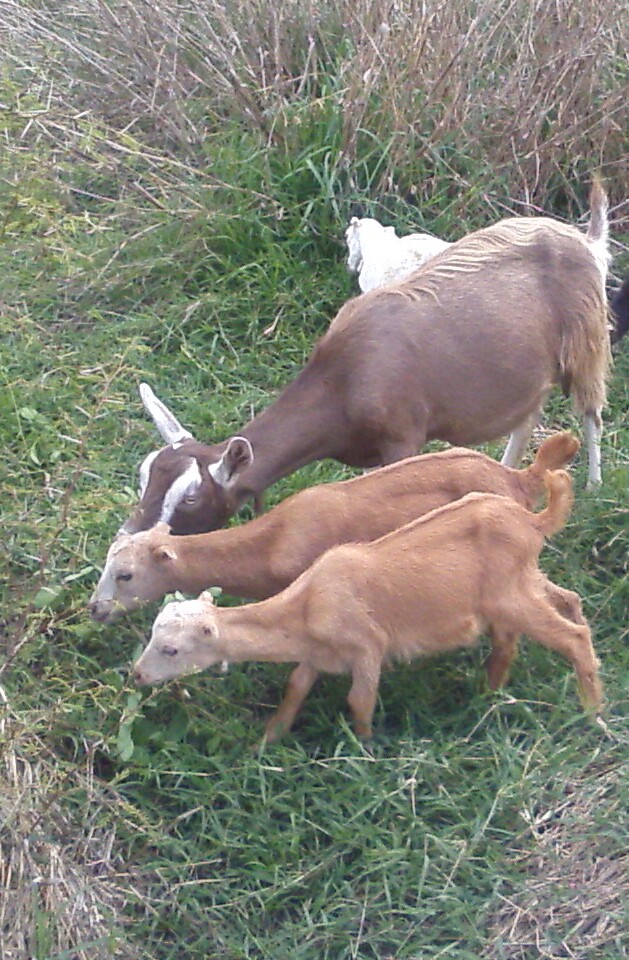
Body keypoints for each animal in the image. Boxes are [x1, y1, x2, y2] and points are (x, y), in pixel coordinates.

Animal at [119, 179, 610, 538]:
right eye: (145, 478)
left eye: (189, 498)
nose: (128, 539)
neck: (344, 381)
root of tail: (586, 240)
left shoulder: (403, 439)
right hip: (531, 367)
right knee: (528, 415)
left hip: (586, 341)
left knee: (591, 413)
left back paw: (594, 486)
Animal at [133, 470, 603, 742]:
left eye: (172, 649)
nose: (136, 674)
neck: (307, 605)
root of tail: (533, 521)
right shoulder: (316, 653)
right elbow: (295, 687)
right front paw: (268, 740)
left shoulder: (367, 647)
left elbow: (360, 701)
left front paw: (365, 750)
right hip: (523, 582)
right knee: (563, 605)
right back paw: (493, 694)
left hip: (509, 597)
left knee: (572, 637)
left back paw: (592, 712)